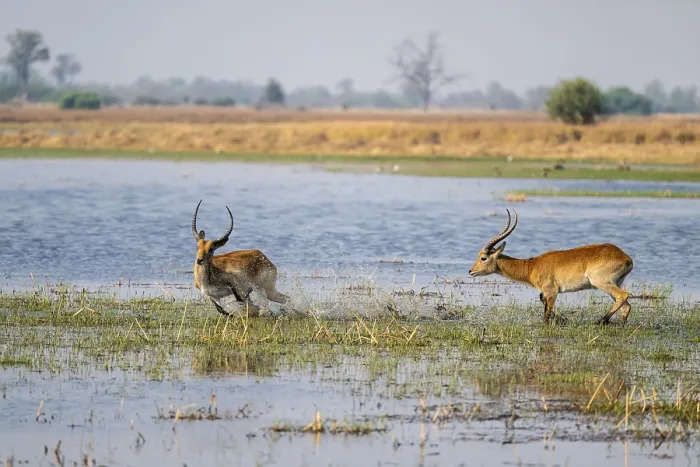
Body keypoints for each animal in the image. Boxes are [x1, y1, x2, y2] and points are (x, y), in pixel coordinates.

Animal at [468, 209, 634, 325]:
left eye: (483, 258)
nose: (471, 271)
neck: (531, 266)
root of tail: (625, 257)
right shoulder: (545, 293)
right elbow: (543, 304)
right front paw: (562, 319)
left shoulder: (552, 292)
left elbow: (546, 314)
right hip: (615, 283)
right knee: (626, 305)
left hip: (601, 282)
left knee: (623, 295)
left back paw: (600, 321)